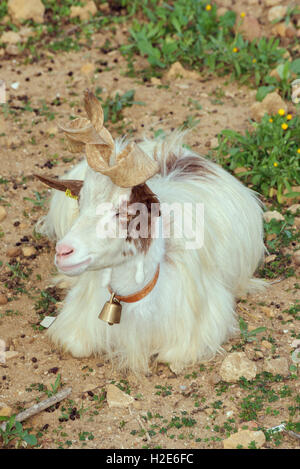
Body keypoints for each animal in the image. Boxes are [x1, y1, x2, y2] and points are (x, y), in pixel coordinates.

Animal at [37, 89, 264, 372]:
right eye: (81, 202)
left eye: (126, 211)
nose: (63, 252)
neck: (135, 297)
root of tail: (168, 147)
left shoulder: (195, 335)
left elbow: (170, 356)